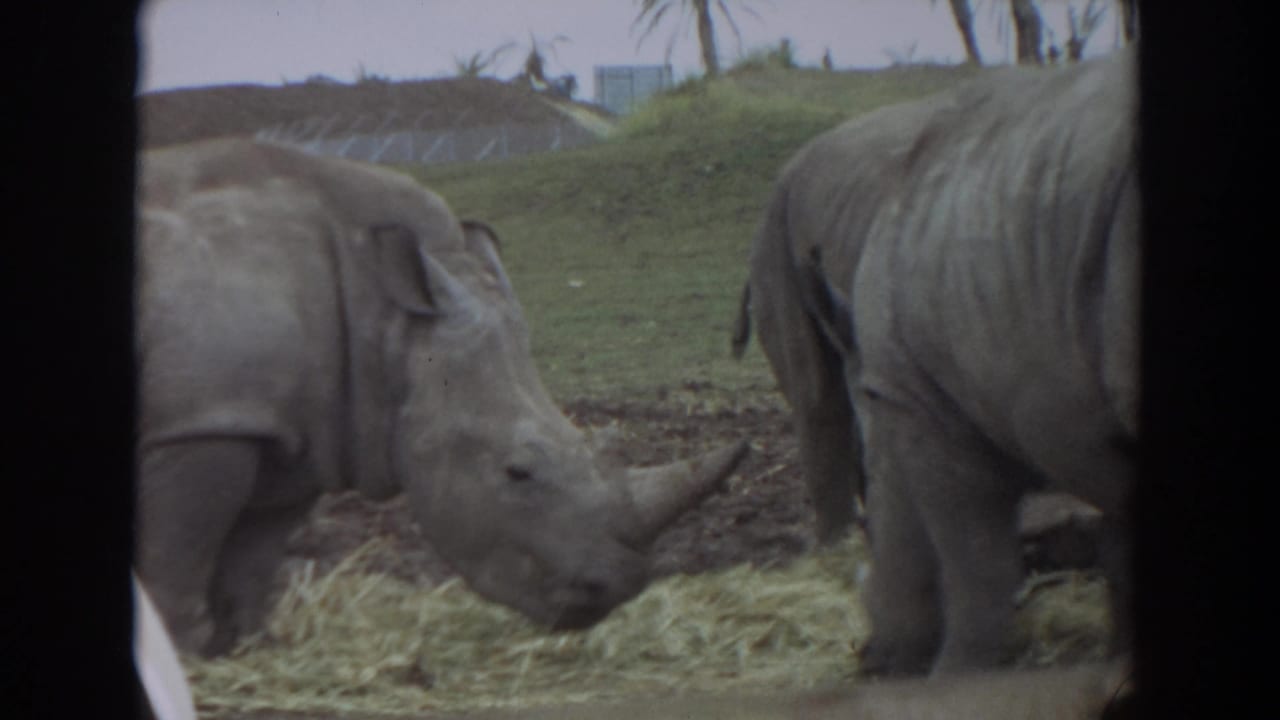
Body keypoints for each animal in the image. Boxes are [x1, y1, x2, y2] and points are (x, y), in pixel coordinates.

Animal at [135, 138, 747, 656]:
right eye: (517, 472)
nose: (613, 589)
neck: (391, 325)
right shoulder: (204, 418)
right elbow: (176, 557)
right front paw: (185, 657)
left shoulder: (290, 427)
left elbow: (252, 560)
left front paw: (249, 650)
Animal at [733, 50, 1138, 675]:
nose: (868, 654)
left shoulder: (922, 403)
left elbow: (973, 555)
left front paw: (956, 671)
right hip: (774, 230)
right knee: (815, 396)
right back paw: (826, 552)